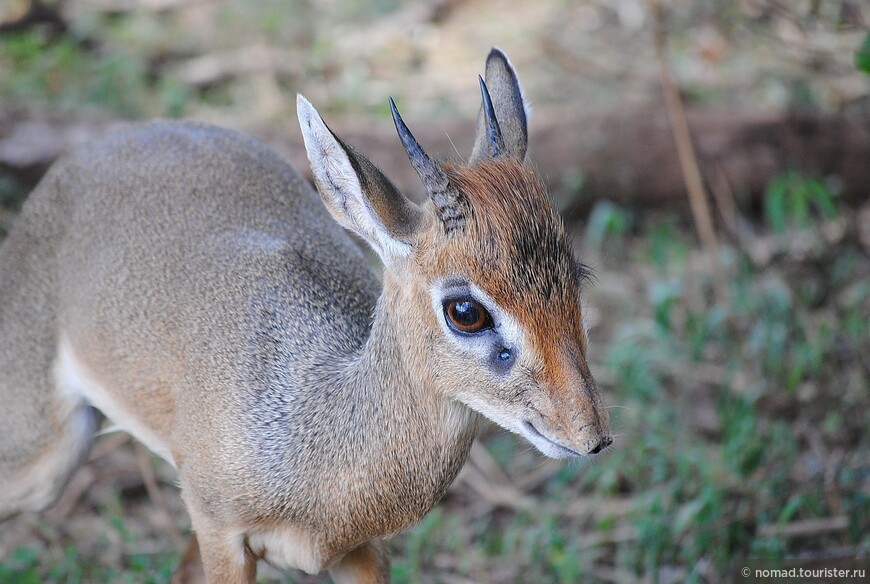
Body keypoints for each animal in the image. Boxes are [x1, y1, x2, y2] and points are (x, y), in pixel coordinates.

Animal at [0, 50, 612, 584]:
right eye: (465, 310)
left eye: (574, 274)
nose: (592, 435)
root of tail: (88, 154)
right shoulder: (220, 531)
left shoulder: (363, 551)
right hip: (41, 457)